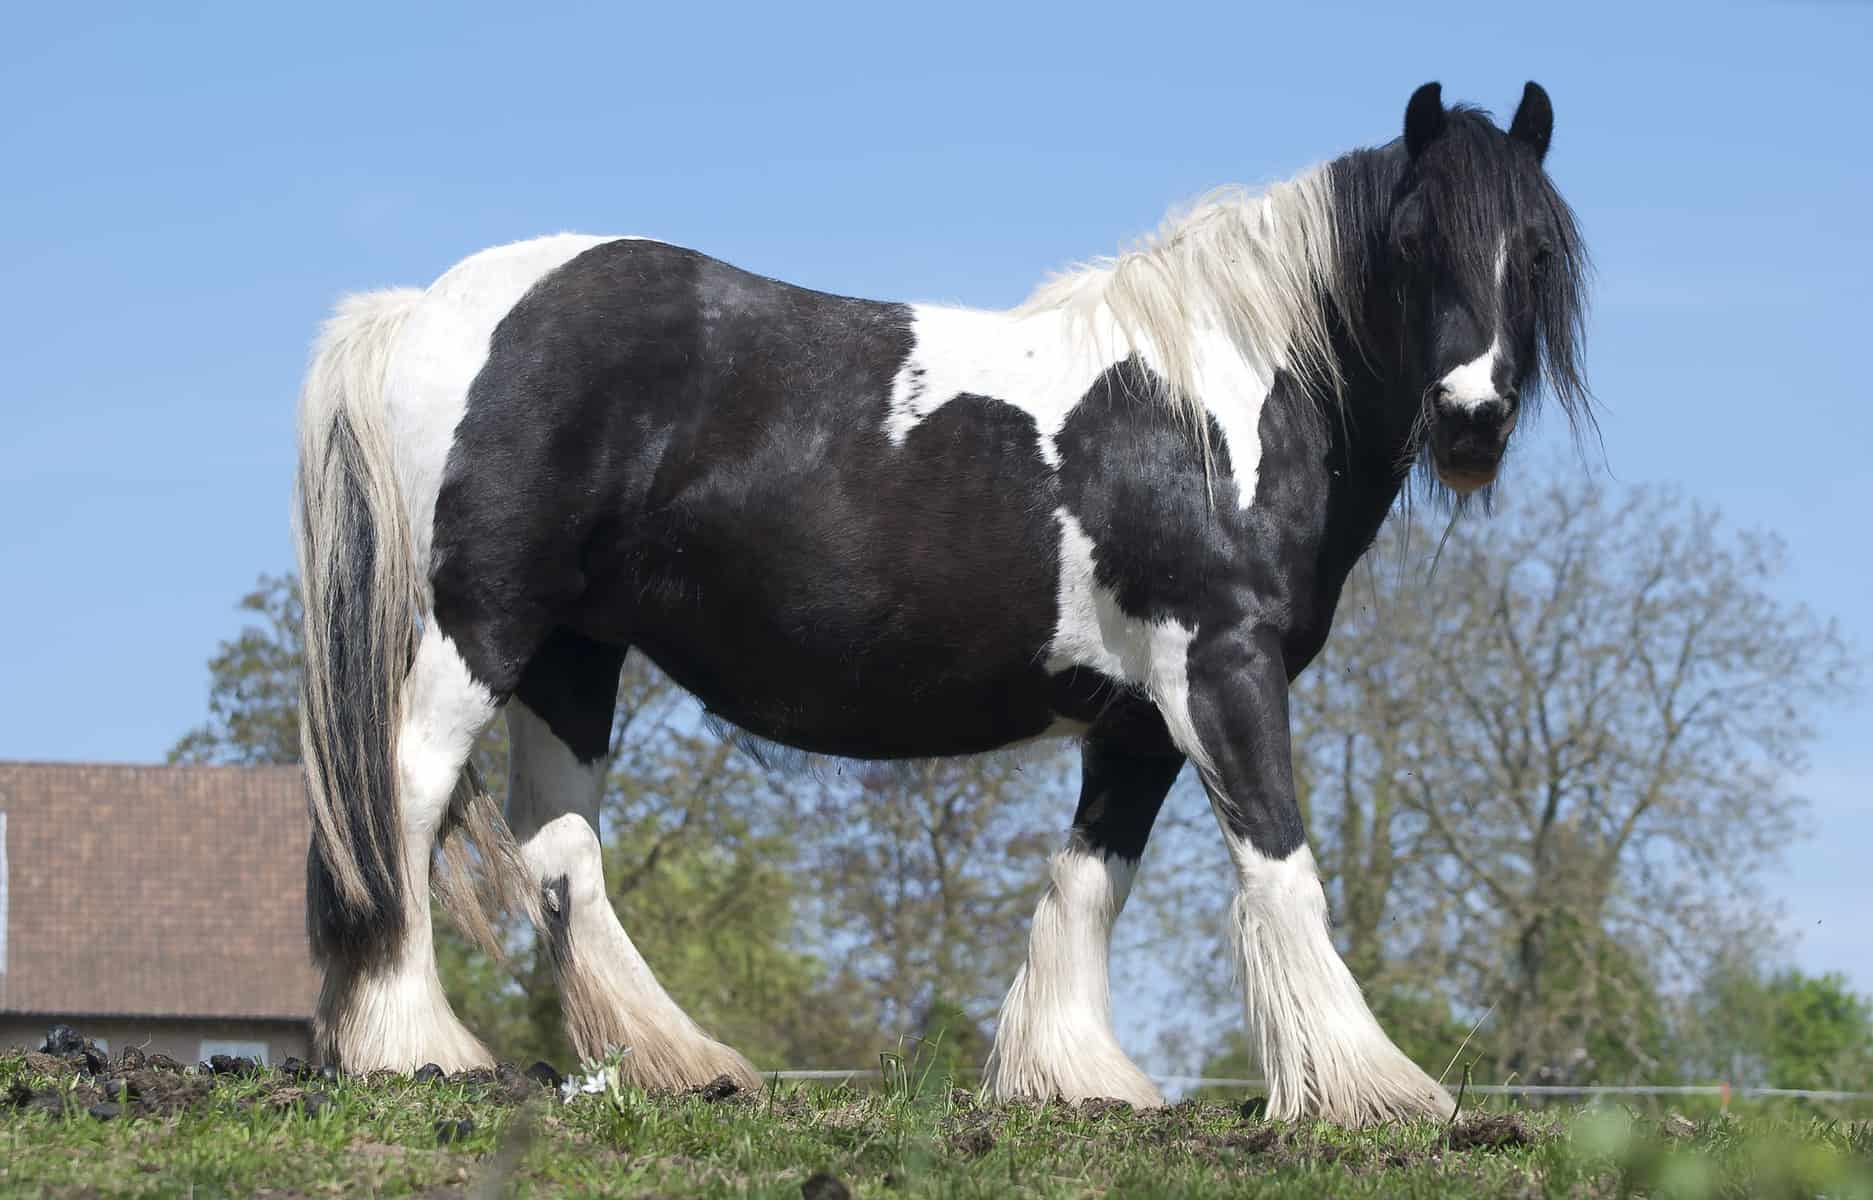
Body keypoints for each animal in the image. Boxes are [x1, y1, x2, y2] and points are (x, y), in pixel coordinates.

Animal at [293, 80, 1589, 1125]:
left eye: (1534, 250)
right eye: (1412, 239)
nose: (1472, 420)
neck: (1209, 410)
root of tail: (426, 308)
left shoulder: (1135, 718)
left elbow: (1089, 875)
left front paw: (1074, 1078)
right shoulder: (1221, 663)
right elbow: (1279, 857)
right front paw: (1372, 1088)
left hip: (574, 651)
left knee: (560, 847)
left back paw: (680, 1065)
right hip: (482, 626)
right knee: (400, 797)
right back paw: (413, 1046)